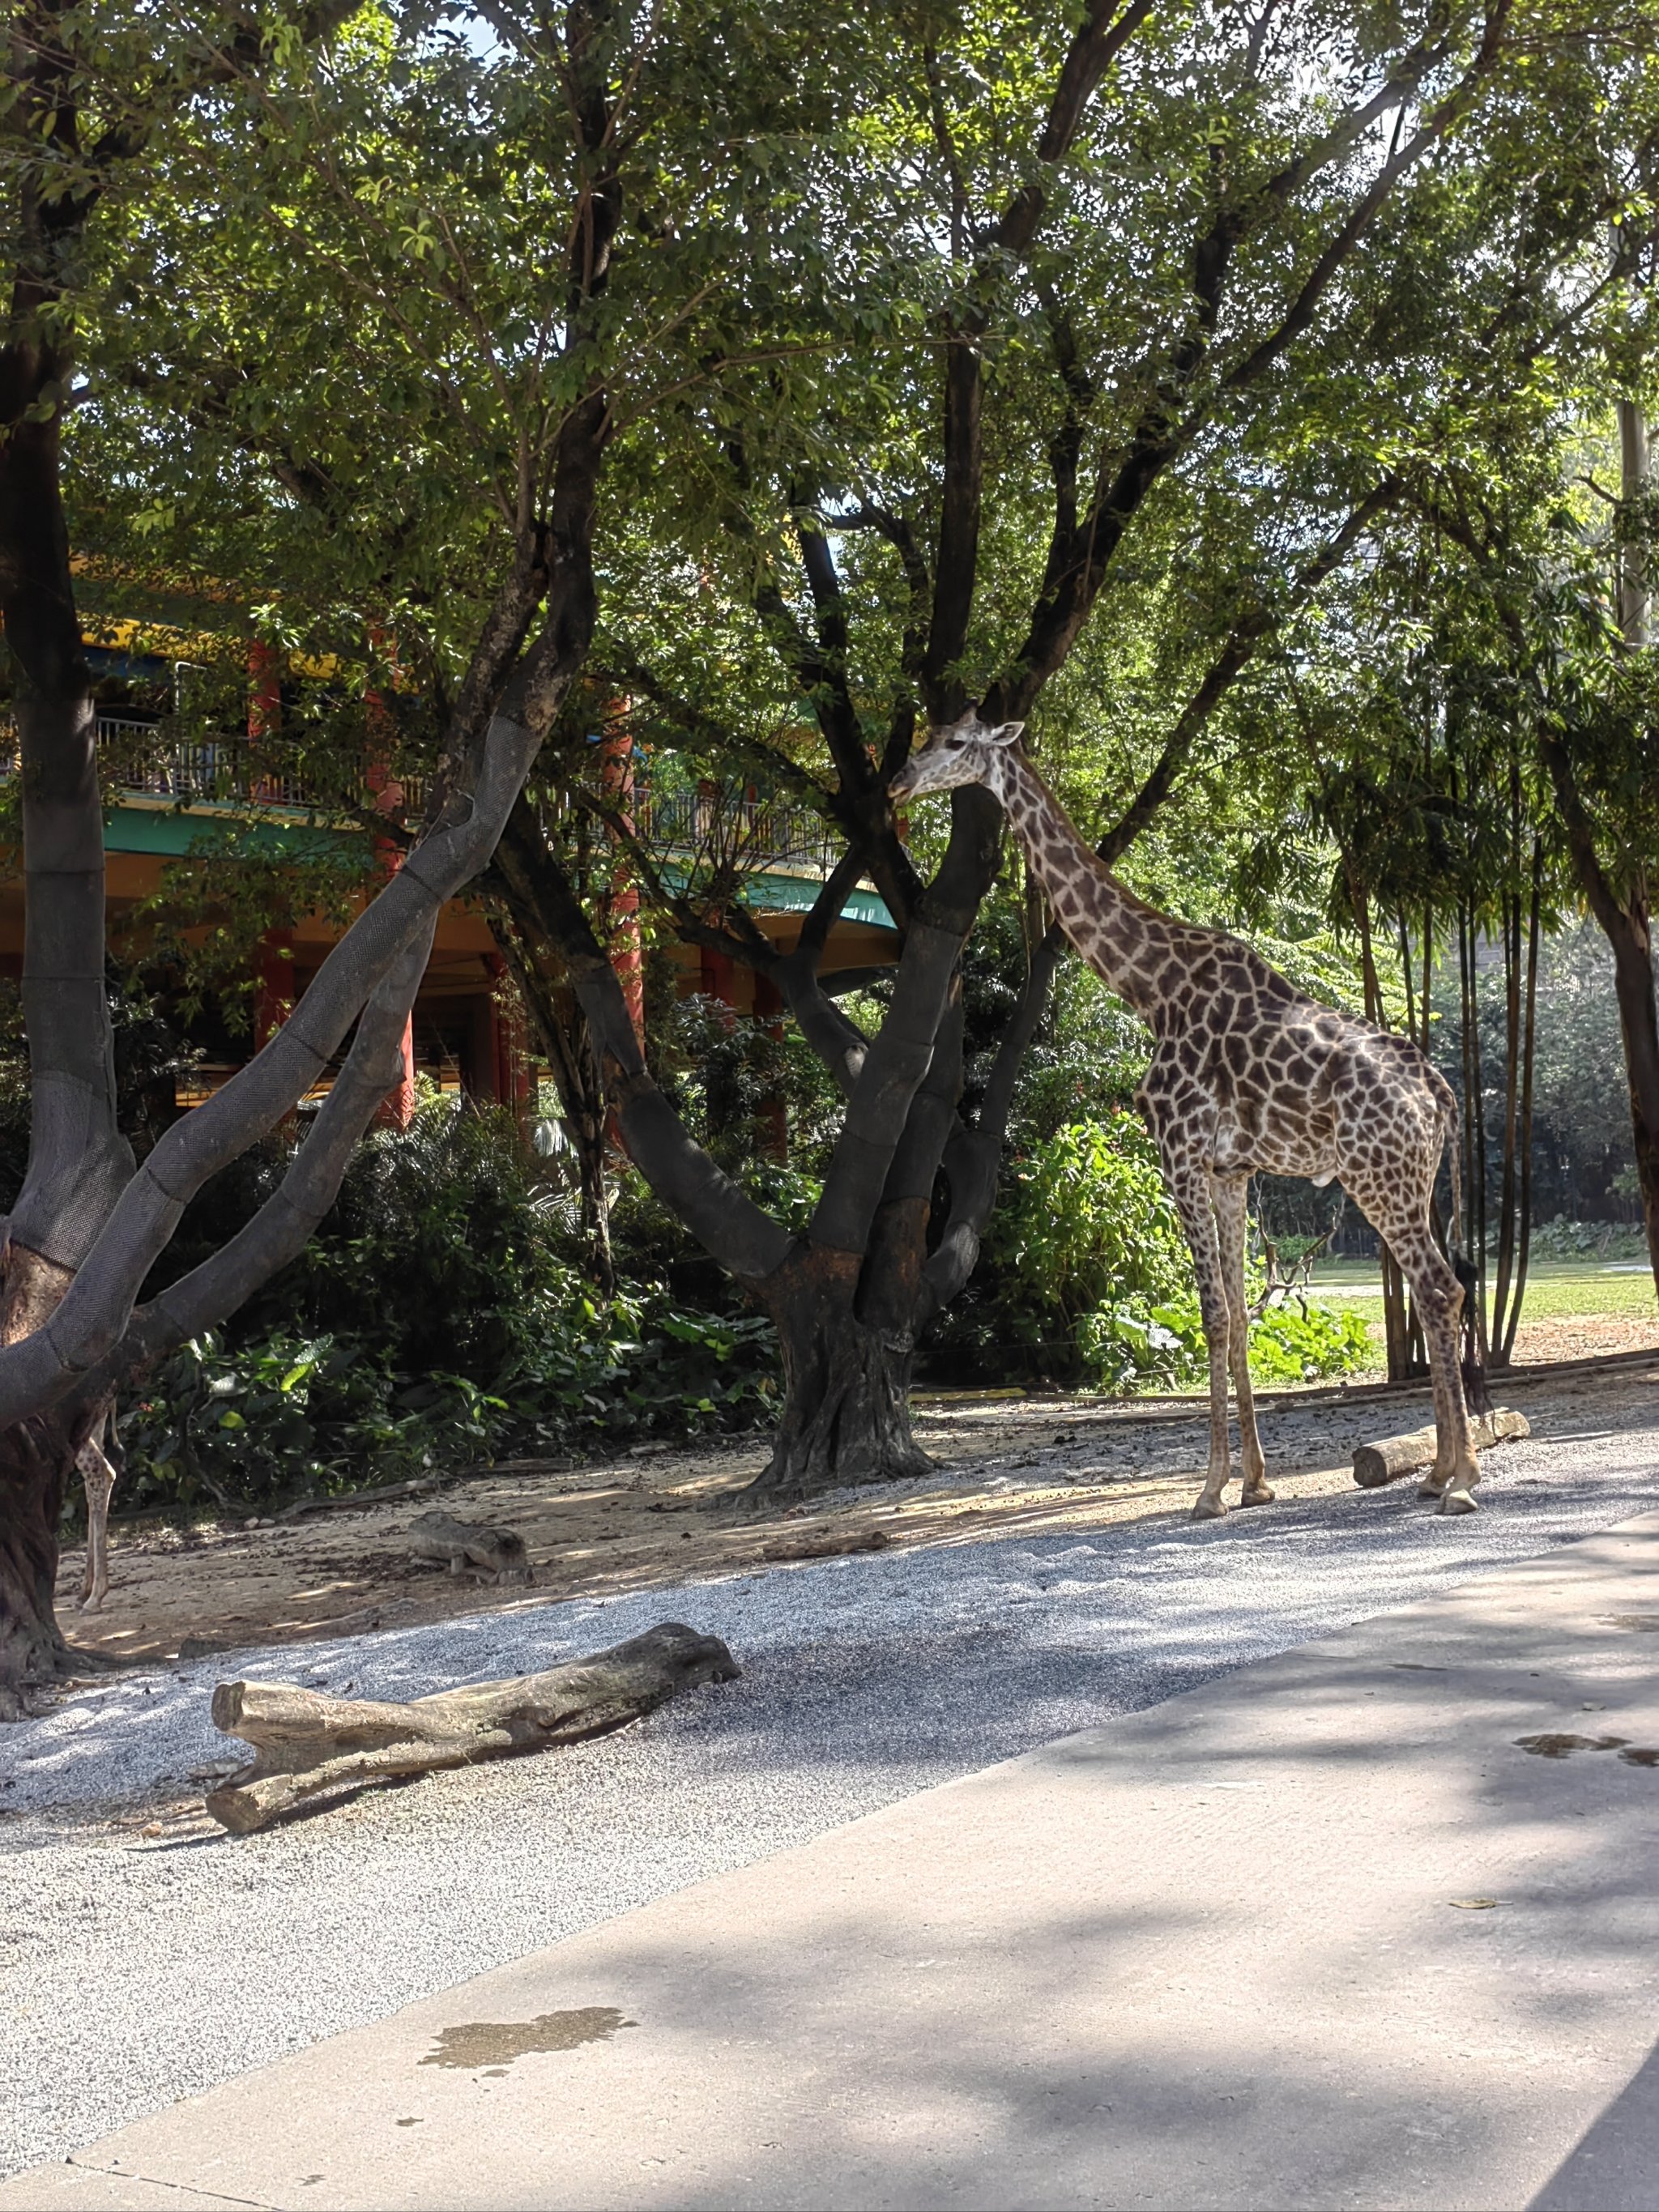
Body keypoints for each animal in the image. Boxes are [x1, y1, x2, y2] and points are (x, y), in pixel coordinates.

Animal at [889, 707, 1486, 1521]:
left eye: (954, 743)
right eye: (927, 732)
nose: (897, 781)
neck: (1151, 988)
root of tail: (1439, 1092)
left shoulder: (1179, 1153)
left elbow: (1211, 1315)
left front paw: (1209, 1488)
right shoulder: (1230, 1168)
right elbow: (1236, 1314)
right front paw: (1256, 1482)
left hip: (1379, 1179)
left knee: (1439, 1287)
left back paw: (1461, 1480)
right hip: (1412, 1183)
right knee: (1437, 1292)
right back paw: (1437, 1471)